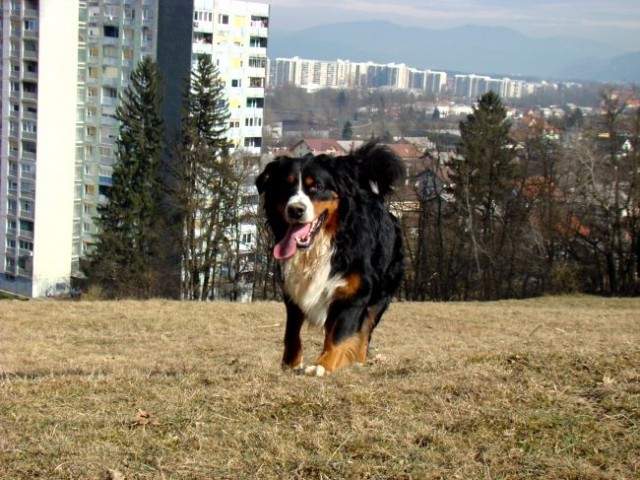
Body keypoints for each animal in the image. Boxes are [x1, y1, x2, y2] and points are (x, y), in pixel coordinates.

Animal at [256, 141, 402, 376]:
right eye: (286, 186)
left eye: (316, 186)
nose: (295, 210)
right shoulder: (293, 289)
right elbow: (291, 333)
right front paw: (290, 363)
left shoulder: (355, 291)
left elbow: (340, 334)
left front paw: (323, 365)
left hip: (381, 295)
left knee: (365, 330)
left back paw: (358, 360)